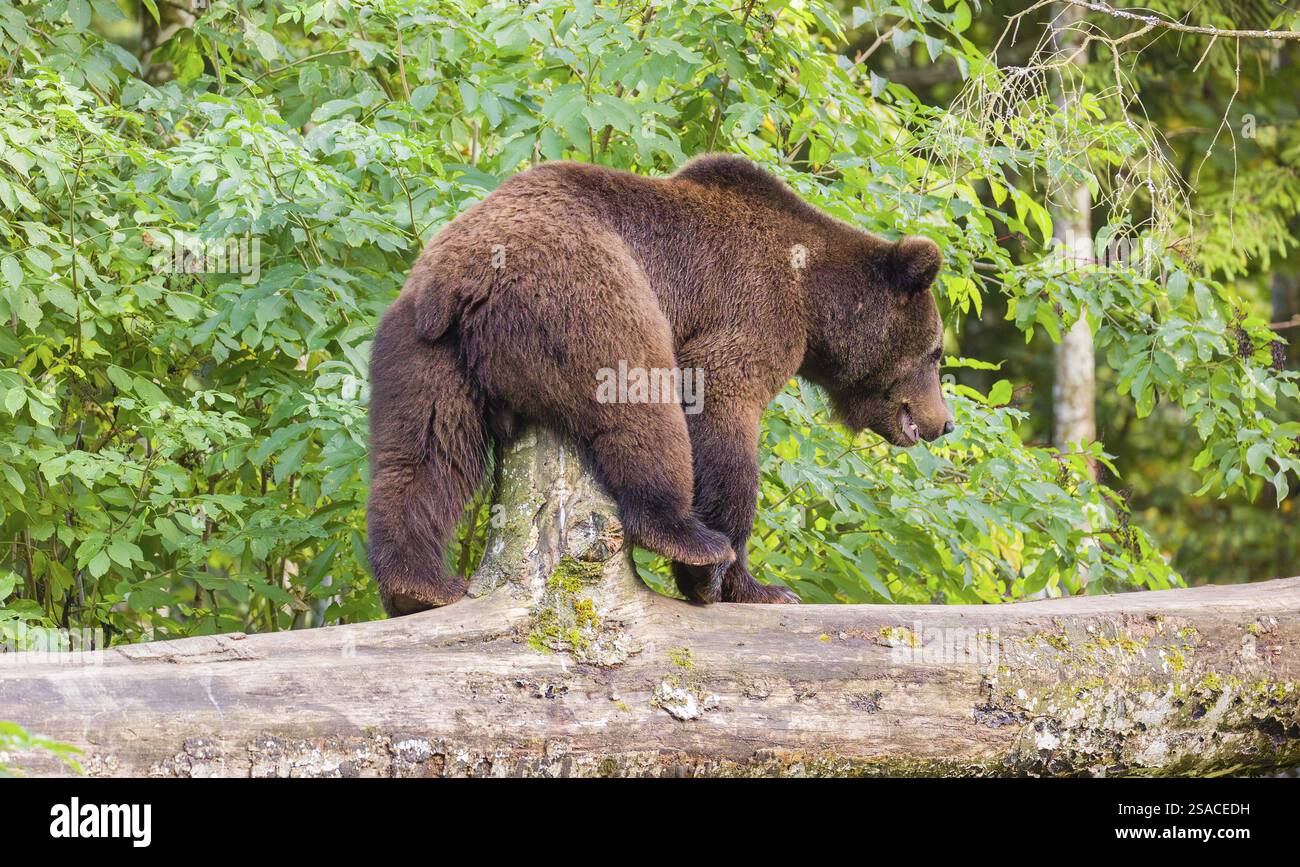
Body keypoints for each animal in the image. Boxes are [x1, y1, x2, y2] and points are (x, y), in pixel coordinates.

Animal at [367, 154, 953, 615]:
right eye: (936, 352)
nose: (944, 422)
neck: (813, 296)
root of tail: (462, 276)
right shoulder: (753, 310)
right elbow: (719, 407)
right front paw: (749, 583)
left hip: (421, 348)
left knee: (424, 454)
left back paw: (417, 584)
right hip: (585, 293)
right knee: (639, 404)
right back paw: (689, 539)